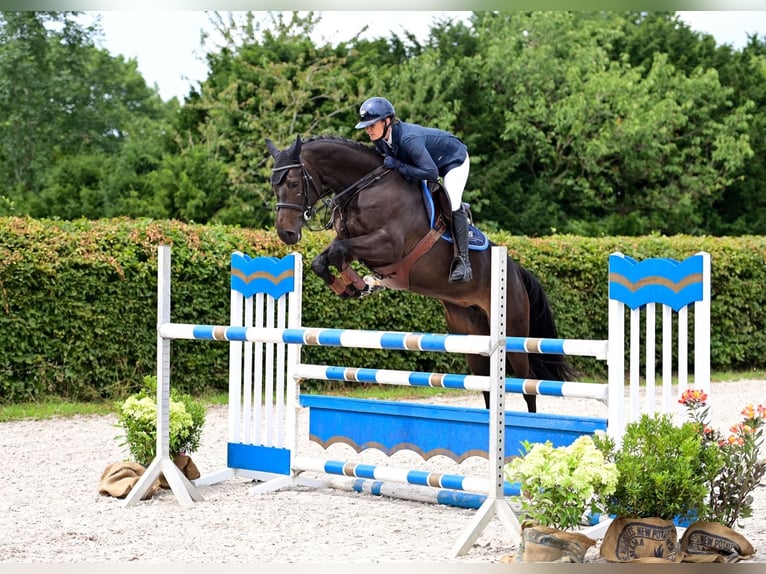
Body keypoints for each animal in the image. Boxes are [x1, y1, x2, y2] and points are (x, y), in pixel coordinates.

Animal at [268, 135, 572, 414]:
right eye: (274, 185)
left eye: (293, 183)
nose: (286, 234)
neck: (364, 187)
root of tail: (515, 270)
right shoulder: (353, 242)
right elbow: (325, 259)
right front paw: (355, 287)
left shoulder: (388, 244)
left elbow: (337, 251)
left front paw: (359, 285)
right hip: (471, 335)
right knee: (486, 384)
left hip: (514, 329)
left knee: (527, 383)